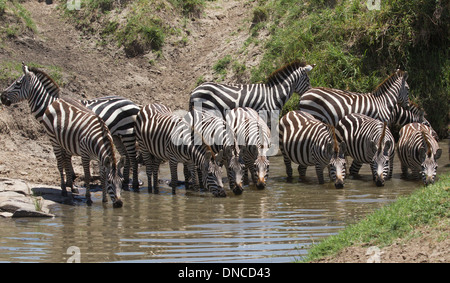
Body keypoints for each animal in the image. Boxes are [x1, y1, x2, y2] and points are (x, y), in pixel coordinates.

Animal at [0, 62, 141, 191]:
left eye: (17, 83)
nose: (2, 97)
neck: (50, 105)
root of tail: (133, 103)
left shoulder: (61, 135)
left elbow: (64, 157)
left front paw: (70, 181)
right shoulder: (63, 135)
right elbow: (65, 157)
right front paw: (71, 179)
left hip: (127, 133)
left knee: (133, 157)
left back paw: (134, 184)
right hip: (117, 136)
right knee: (126, 157)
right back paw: (125, 181)